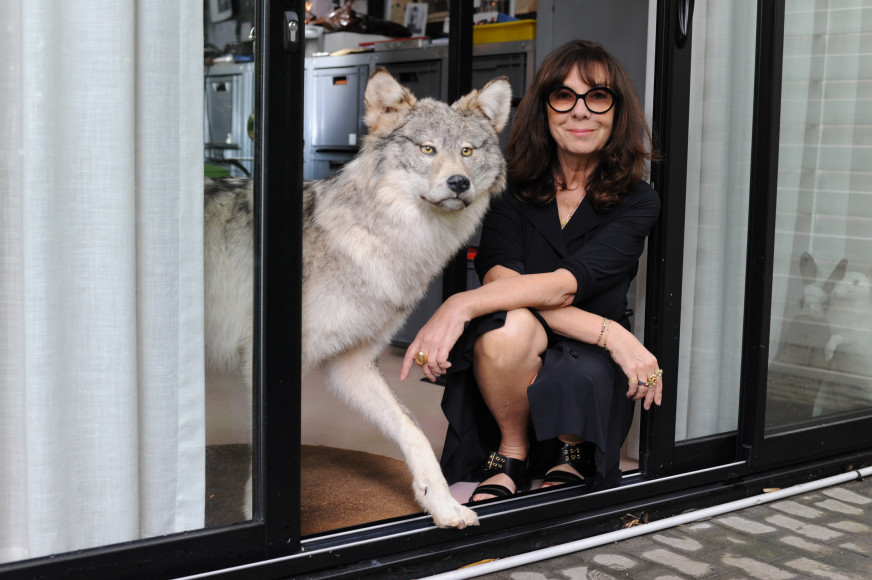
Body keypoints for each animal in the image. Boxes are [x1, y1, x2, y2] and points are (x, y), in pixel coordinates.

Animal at [204, 65, 510, 528]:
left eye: (468, 151)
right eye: (427, 148)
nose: (459, 183)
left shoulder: (351, 364)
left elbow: (413, 430)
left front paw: (442, 503)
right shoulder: (267, 361)